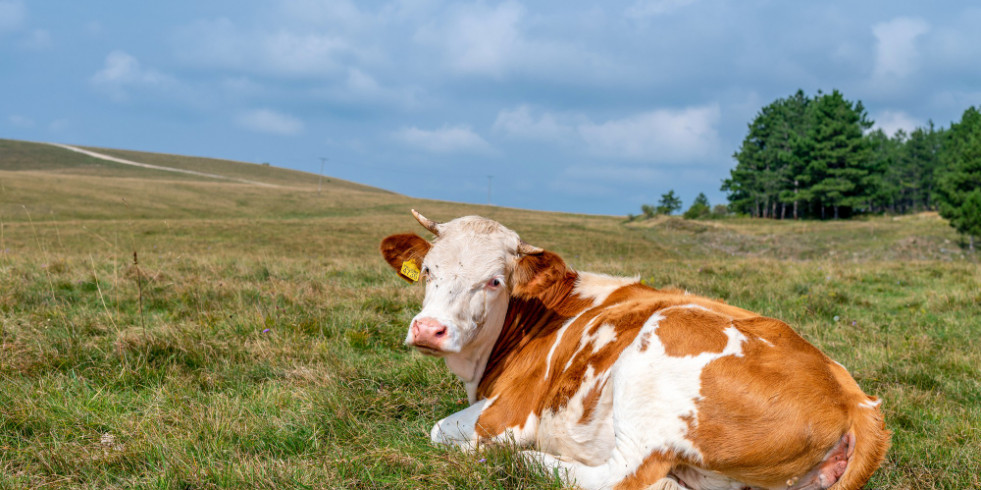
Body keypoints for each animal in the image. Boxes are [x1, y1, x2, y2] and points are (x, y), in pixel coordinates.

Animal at [380, 212, 888, 490]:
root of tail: (854, 398)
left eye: (494, 281)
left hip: (661, 362)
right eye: (429, 269)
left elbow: (442, 432)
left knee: (622, 476)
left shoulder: (509, 412)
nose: (429, 330)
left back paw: (524, 462)